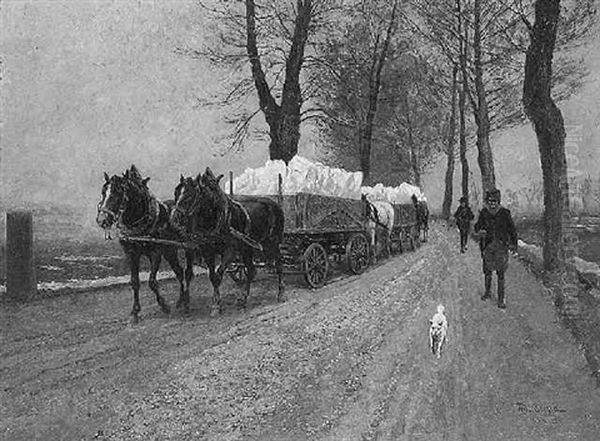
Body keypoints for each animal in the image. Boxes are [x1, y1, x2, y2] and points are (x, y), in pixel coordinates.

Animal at [96, 165, 193, 324]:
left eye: (117, 193)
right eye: (103, 192)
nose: (102, 220)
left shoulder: (155, 253)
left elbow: (152, 282)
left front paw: (164, 305)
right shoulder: (131, 254)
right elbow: (134, 282)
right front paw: (135, 312)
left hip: (188, 248)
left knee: (187, 273)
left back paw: (186, 301)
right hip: (170, 250)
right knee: (179, 272)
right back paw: (180, 300)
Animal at [169, 167, 286, 314]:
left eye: (189, 196)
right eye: (176, 193)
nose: (174, 219)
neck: (215, 219)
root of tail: (275, 204)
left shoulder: (230, 251)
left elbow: (218, 274)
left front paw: (216, 305)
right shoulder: (207, 250)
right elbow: (212, 276)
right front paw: (216, 303)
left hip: (272, 242)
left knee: (279, 264)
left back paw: (281, 293)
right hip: (248, 247)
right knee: (251, 270)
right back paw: (243, 298)